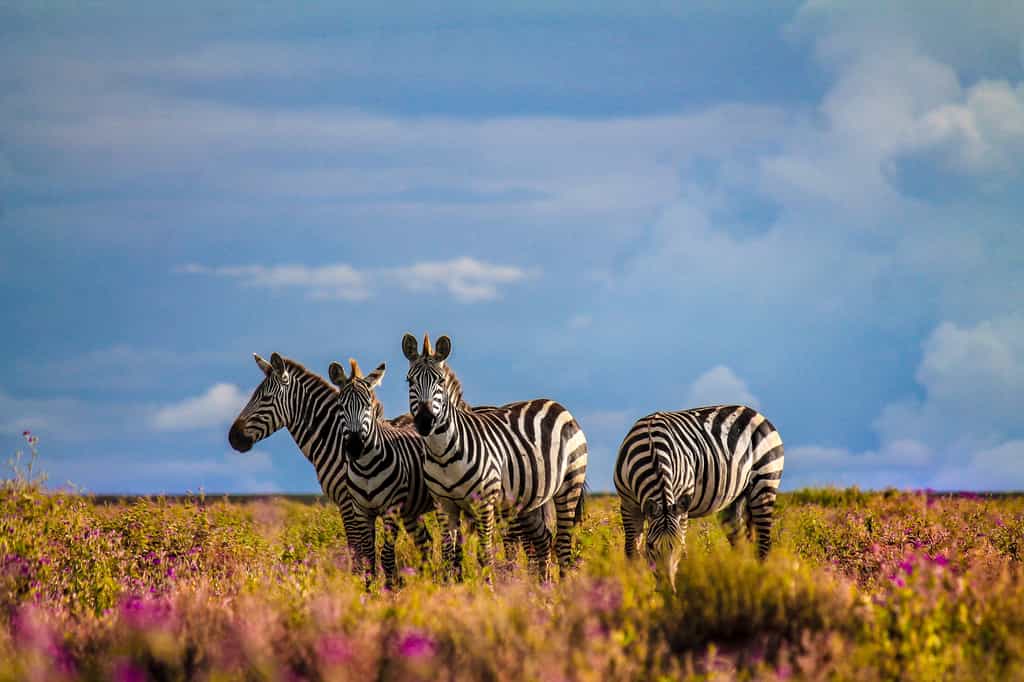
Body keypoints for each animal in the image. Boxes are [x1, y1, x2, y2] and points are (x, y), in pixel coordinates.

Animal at [227, 352, 412, 578]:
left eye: (265, 398)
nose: (233, 438)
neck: (336, 441)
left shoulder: (349, 502)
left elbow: (356, 551)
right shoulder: (351, 505)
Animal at [327, 358, 435, 588]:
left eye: (369, 405)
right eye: (340, 406)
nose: (355, 446)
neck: (366, 467)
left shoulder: (390, 509)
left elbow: (386, 555)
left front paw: (390, 589)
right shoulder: (361, 510)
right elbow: (368, 556)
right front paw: (369, 591)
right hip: (411, 511)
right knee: (426, 543)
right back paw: (429, 582)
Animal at [402, 332, 588, 581]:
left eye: (440, 381)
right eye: (409, 381)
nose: (424, 422)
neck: (443, 456)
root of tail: (556, 404)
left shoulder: (484, 503)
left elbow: (485, 554)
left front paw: (488, 586)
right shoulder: (444, 504)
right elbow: (448, 554)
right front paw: (448, 587)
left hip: (570, 484)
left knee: (563, 544)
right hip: (529, 499)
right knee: (543, 540)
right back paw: (543, 586)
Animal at [614, 404, 784, 589]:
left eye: (678, 546)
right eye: (650, 546)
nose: (667, 589)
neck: (653, 449)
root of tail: (754, 412)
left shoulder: (681, 503)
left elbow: (681, 546)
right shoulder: (628, 504)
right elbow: (631, 551)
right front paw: (634, 586)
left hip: (765, 481)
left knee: (764, 544)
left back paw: (759, 582)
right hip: (734, 500)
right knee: (740, 543)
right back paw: (741, 578)